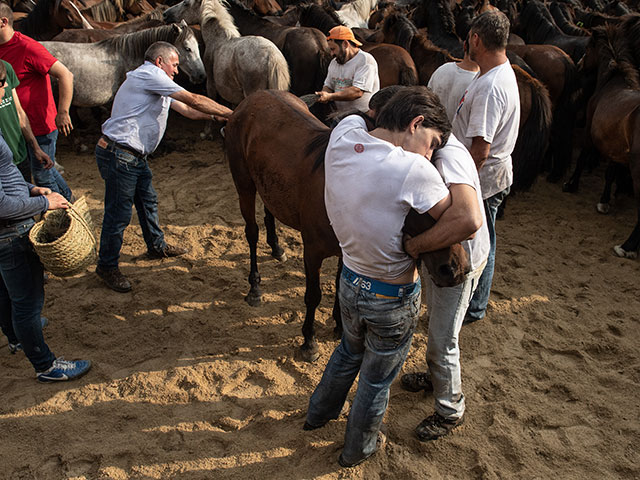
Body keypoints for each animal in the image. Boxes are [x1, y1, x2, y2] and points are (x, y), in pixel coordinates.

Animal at [226, 89, 470, 360]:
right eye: (426, 195)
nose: (457, 268)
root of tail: (252, 98)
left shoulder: (348, 251)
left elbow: (340, 285)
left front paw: (340, 327)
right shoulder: (312, 251)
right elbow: (313, 295)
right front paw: (309, 341)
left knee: (269, 211)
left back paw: (277, 248)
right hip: (244, 185)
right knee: (251, 233)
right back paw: (255, 287)